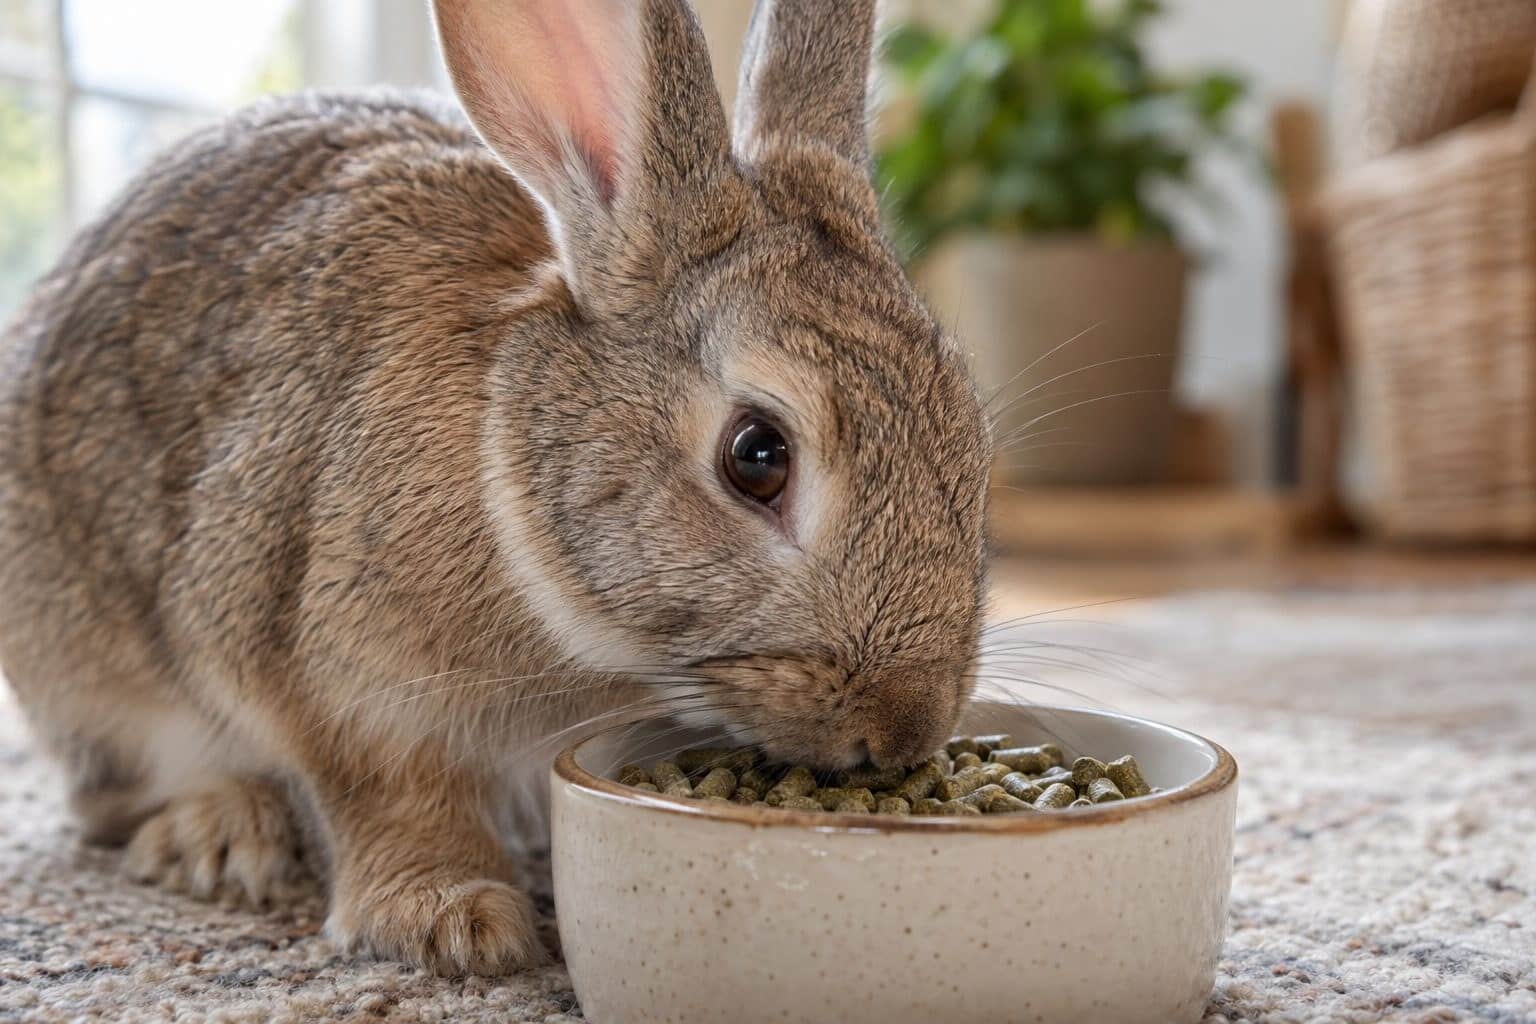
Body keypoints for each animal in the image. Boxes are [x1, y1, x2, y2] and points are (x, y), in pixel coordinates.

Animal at [0, 0, 991, 975]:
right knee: (113, 798)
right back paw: (219, 836)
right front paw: (454, 920)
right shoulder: (343, 674)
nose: (906, 728)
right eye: (757, 457)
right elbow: (395, 795)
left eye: (970, 429)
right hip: (93, 672)